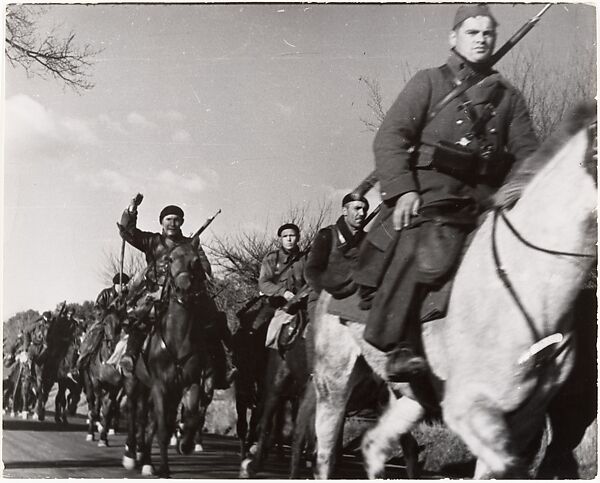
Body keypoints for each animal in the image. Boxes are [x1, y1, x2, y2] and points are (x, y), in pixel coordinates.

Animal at [312, 103, 596, 480]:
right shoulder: (472, 408)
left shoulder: (526, 419)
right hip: (333, 380)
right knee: (326, 452)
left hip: (409, 398)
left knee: (374, 444)